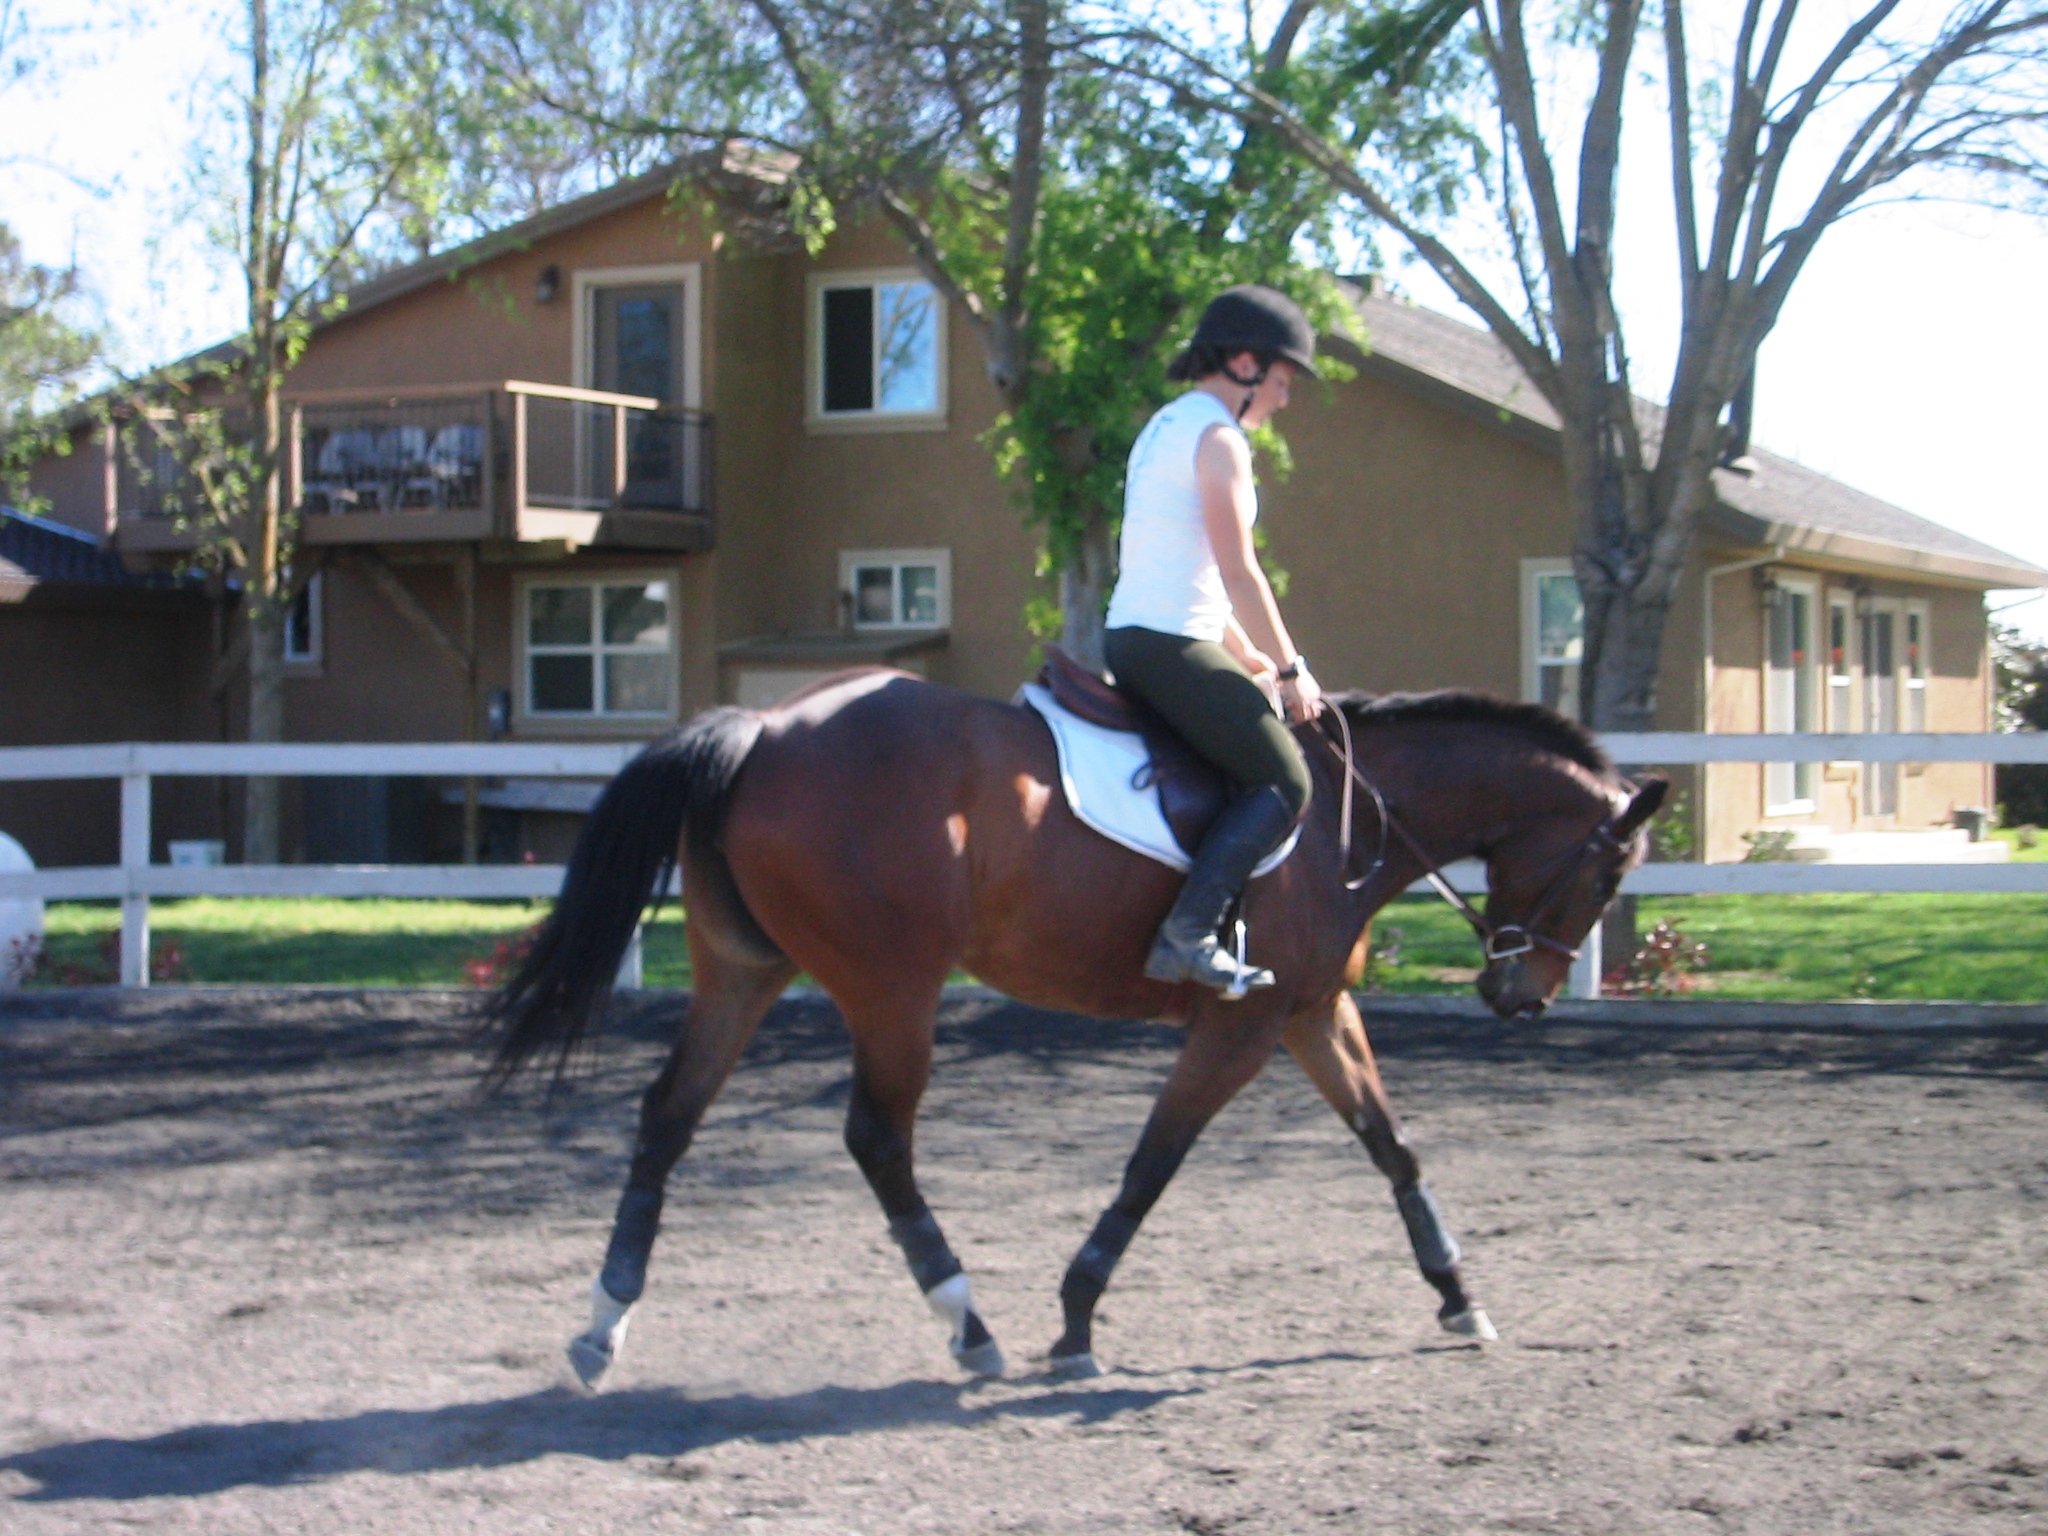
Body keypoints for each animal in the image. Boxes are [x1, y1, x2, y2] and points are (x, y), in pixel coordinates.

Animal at [485, 666, 1665, 1385]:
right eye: (1609, 874)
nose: (1522, 998)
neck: (1352, 818)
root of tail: (760, 731)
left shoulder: (1311, 1012)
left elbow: (1393, 1147)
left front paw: (1459, 1297)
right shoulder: (1240, 1027)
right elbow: (1154, 1162)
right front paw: (1076, 1317)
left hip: (743, 971)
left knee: (666, 1117)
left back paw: (602, 1326)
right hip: (893, 989)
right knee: (877, 1141)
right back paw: (968, 1325)